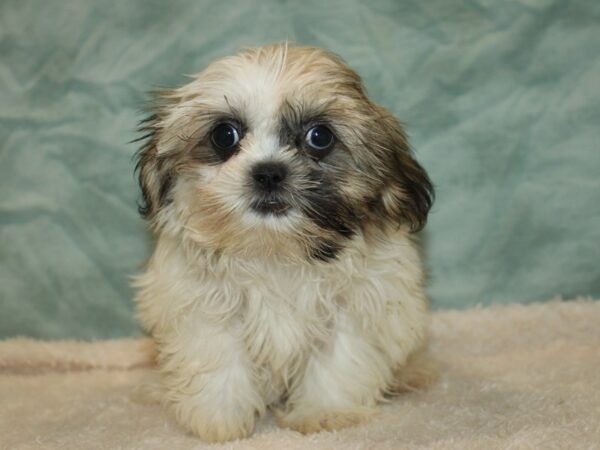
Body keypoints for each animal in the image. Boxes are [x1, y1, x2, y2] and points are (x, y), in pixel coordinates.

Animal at [134, 44, 434, 442]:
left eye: (319, 137)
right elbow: (217, 356)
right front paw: (218, 420)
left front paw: (325, 413)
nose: (268, 172)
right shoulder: (204, 305)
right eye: (224, 135)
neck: (275, 250)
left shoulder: (356, 305)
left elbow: (338, 358)